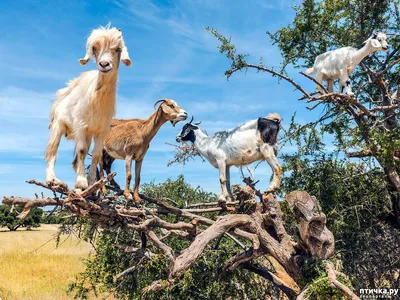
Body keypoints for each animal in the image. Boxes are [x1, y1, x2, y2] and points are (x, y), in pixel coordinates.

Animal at [45, 25, 133, 190]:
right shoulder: (80, 125)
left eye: (118, 49)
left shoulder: (101, 130)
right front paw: (81, 182)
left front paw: (91, 182)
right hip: (58, 125)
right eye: (94, 48)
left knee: (74, 161)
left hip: (88, 134)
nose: (104, 64)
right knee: (51, 152)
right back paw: (52, 180)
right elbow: (82, 150)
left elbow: (96, 154)